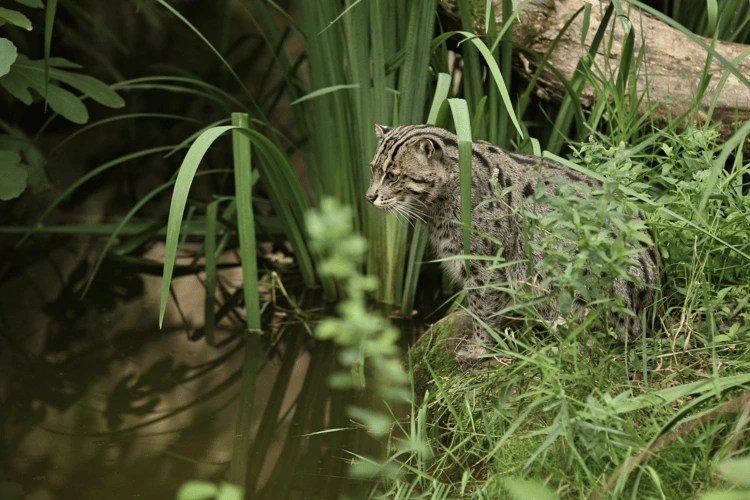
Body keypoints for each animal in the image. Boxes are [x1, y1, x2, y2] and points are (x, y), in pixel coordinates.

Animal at [368, 123, 660, 362]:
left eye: (392, 176)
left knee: (604, 341)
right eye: (372, 169)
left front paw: (479, 347)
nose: (369, 196)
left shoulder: (486, 263)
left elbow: (482, 307)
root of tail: (648, 310)